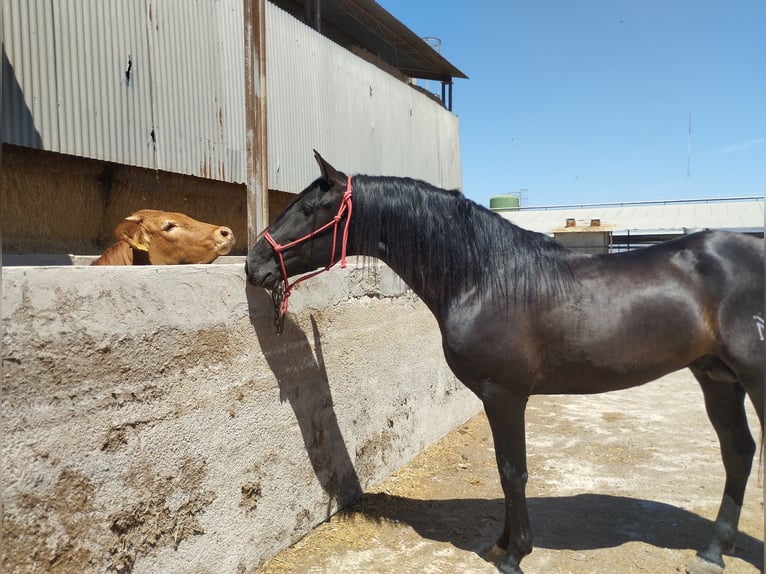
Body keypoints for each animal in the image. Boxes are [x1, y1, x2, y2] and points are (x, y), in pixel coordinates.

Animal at [249, 153, 764, 574]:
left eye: (308, 209)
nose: (254, 264)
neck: (484, 277)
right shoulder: (497, 397)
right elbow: (504, 470)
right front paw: (500, 543)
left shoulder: (505, 394)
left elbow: (512, 471)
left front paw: (515, 554)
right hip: (717, 378)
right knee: (738, 453)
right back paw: (712, 552)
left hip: (753, 379)